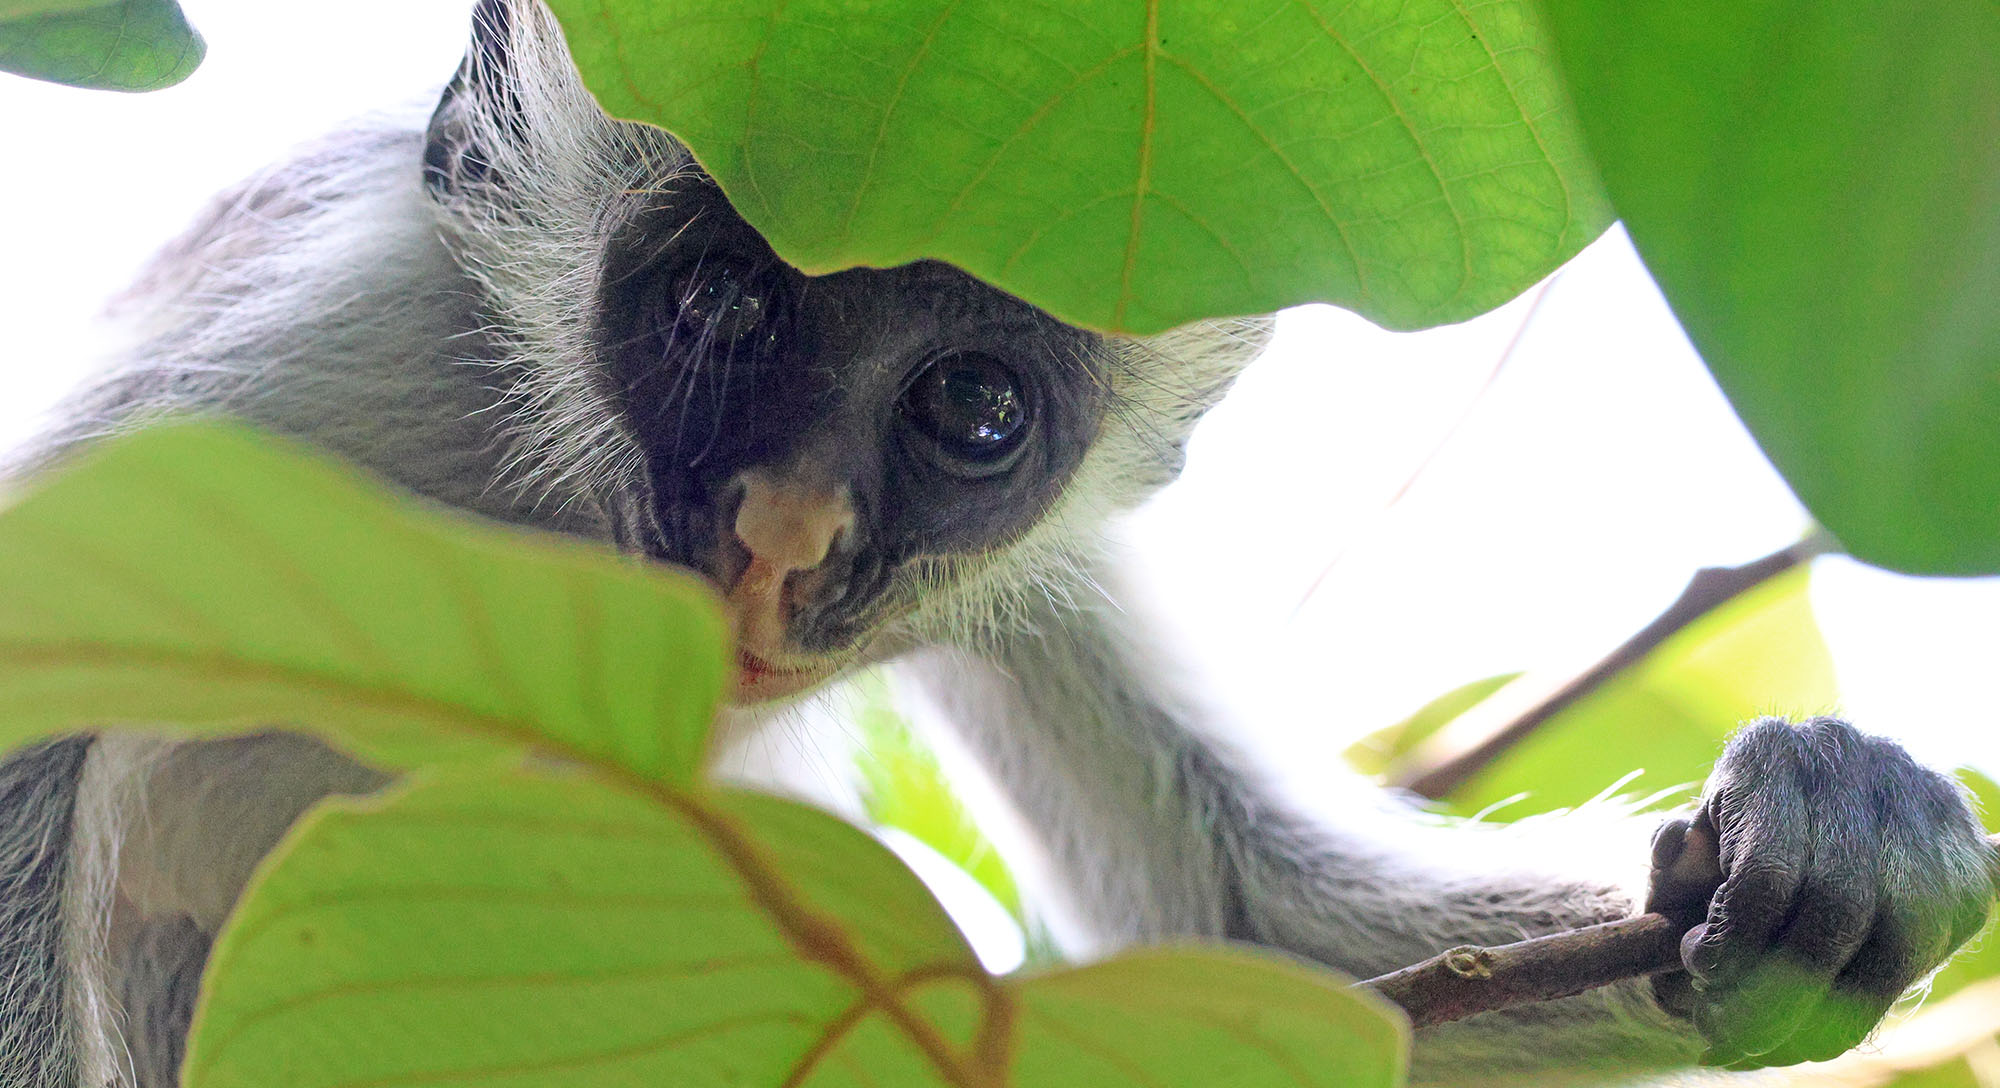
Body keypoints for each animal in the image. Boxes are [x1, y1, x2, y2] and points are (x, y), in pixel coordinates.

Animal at [0, 4, 1992, 1080]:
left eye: (970, 409)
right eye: (720, 305)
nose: (784, 530)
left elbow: (1243, 925)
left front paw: (1818, 844)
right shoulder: (341, 339)